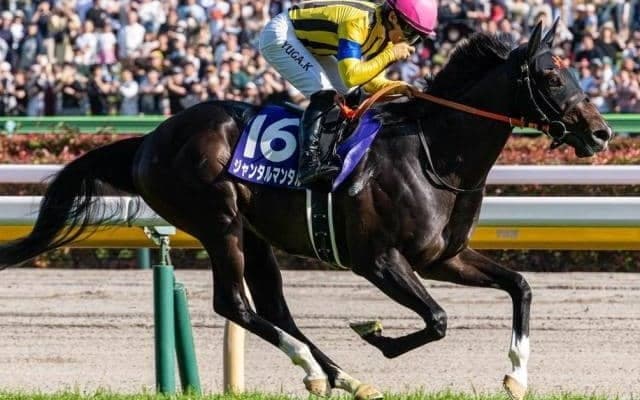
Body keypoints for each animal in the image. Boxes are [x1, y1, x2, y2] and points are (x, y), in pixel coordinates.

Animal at [0, 21, 611, 400]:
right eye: (552, 76)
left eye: (576, 71)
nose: (601, 133)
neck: (433, 154)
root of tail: (148, 140)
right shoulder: (379, 261)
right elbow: (436, 321)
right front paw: (376, 334)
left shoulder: (443, 257)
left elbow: (520, 287)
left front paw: (516, 377)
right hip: (218, 221)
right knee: (234, 303)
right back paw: (318, 369)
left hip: (253, 233)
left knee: (272, 306)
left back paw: (340, 376)